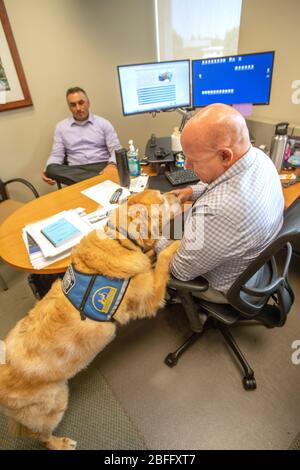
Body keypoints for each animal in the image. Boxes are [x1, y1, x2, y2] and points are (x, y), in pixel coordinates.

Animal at [0, 189, 180, 450]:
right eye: (162, 199)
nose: (177, 194)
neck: (120, 240)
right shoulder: (149, 296)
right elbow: (165, 256)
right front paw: (178, 242)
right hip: (53, 403)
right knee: (39, 435)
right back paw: (61, 443)